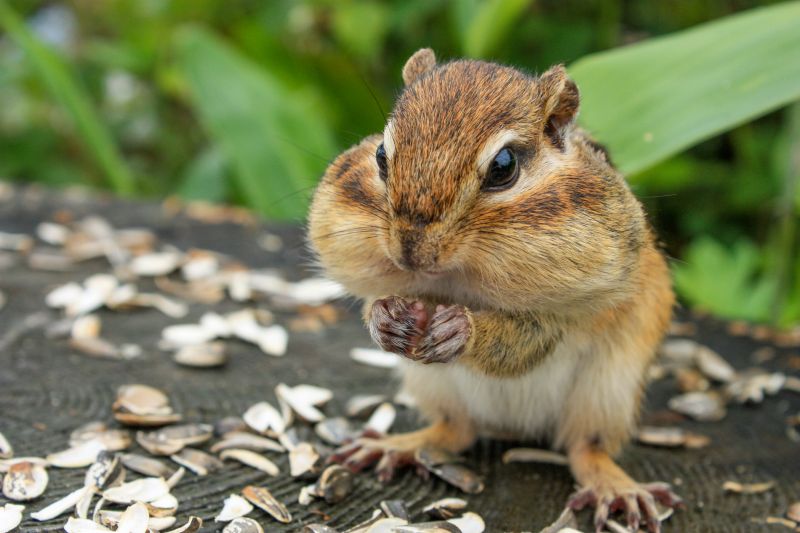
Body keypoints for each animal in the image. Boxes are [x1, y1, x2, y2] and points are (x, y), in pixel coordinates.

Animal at [308, 48, 681, 532]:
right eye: (381, 155)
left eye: (504, 166)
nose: (410, 250)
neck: (456, 278)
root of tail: (514, 429)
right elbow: (374, 302)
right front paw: (384, 318)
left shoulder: (564, 311)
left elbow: (526, 340)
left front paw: (461, 329)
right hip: (435, 386)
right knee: (455, 431)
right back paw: (399, 445)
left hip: (609, 392)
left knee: (586, 448)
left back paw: (616, 487)